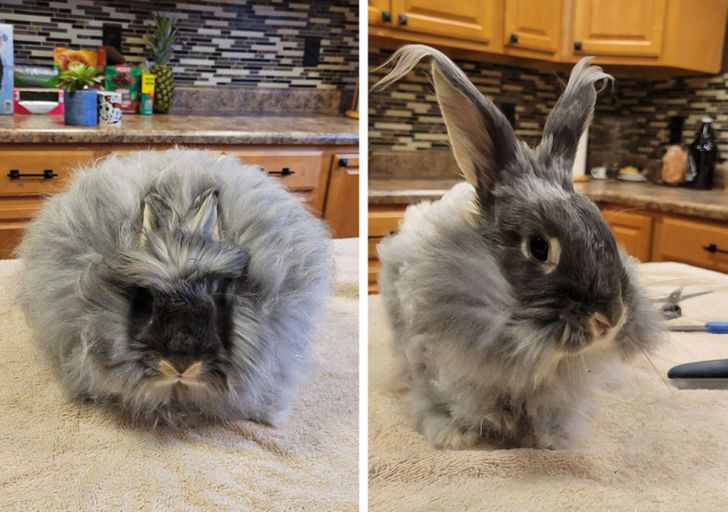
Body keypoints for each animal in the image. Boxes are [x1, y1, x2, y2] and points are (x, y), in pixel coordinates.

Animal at [376, 46, 664, 450]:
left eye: (603, 226)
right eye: (539, 248)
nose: (609, 320)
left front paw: (553, 439)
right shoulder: (425, 352)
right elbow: (432, 398)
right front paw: (452, 435)